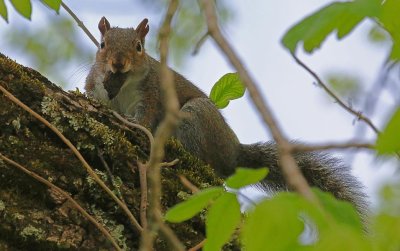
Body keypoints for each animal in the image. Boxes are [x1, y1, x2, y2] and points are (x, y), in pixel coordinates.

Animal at [85, 16, 368, 220]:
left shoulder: (153, 94)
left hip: (195, 117)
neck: (122, 85)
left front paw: (134, 124)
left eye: (139, 47)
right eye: (102, 44)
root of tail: (233, 152)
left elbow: (146, 116)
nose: (118, 63)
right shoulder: (95, 87)